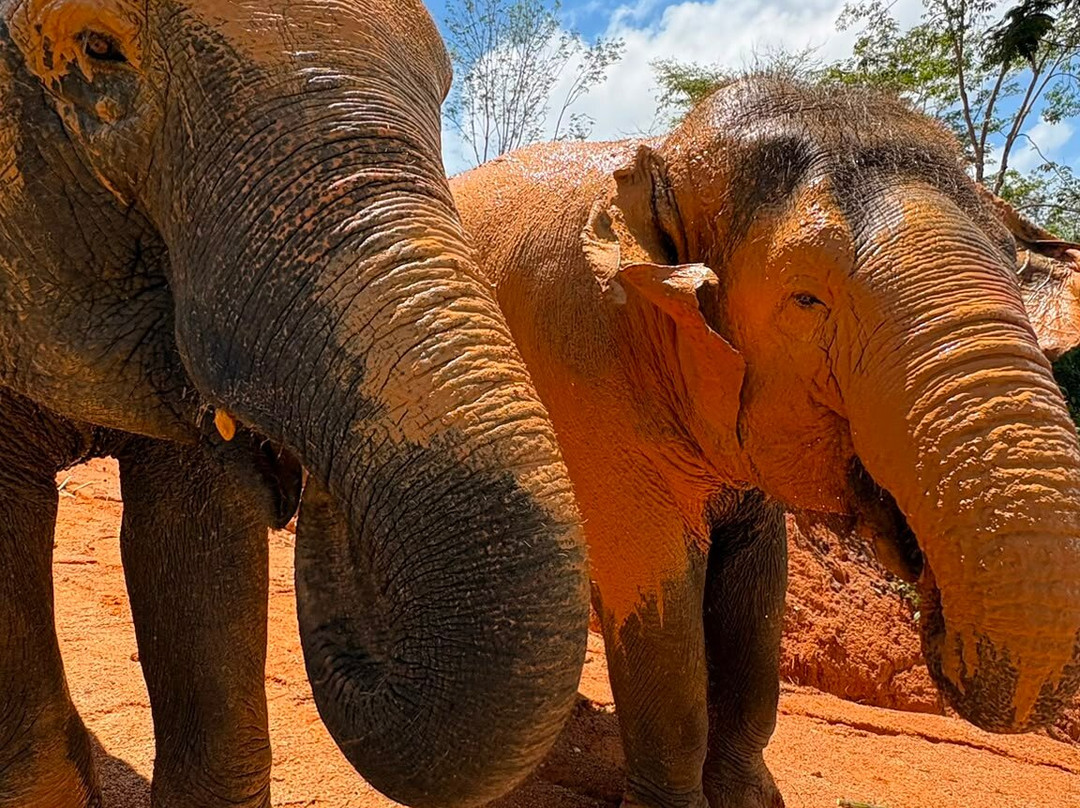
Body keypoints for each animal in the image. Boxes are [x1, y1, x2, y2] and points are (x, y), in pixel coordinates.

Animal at [450, 75, 1080, 808]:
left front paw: (749, 799)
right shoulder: (579, 361)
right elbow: (652, 583)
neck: (664, 153)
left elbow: (757, 597)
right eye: (806, 300)